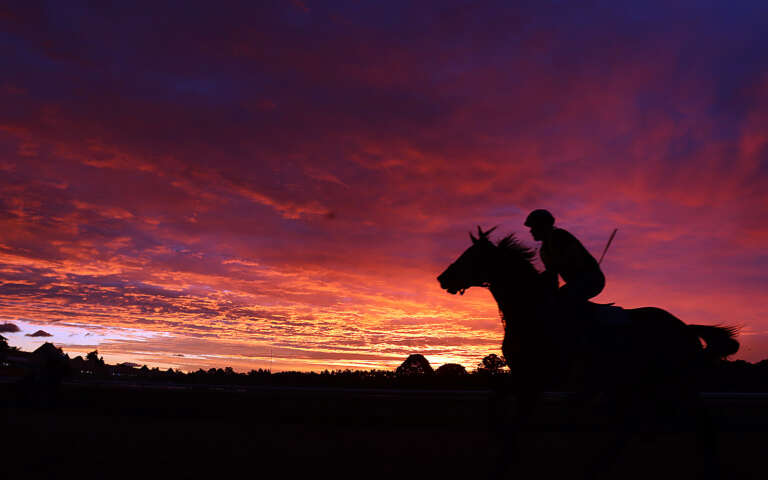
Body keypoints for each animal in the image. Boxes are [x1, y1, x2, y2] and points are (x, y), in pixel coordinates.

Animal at [436, 227, 740, 478]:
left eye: (471, 255)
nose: (442, 278)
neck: (533, 312)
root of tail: (684, 327)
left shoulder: (538, 377)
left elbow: (519, 418)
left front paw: (505, 459)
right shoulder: (524, 375)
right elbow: (498, 401)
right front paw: (502, 451)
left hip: (675, 381)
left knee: (698, 420)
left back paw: (711, 466)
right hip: (635, 383)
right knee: (631, 424)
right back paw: (598, 465)